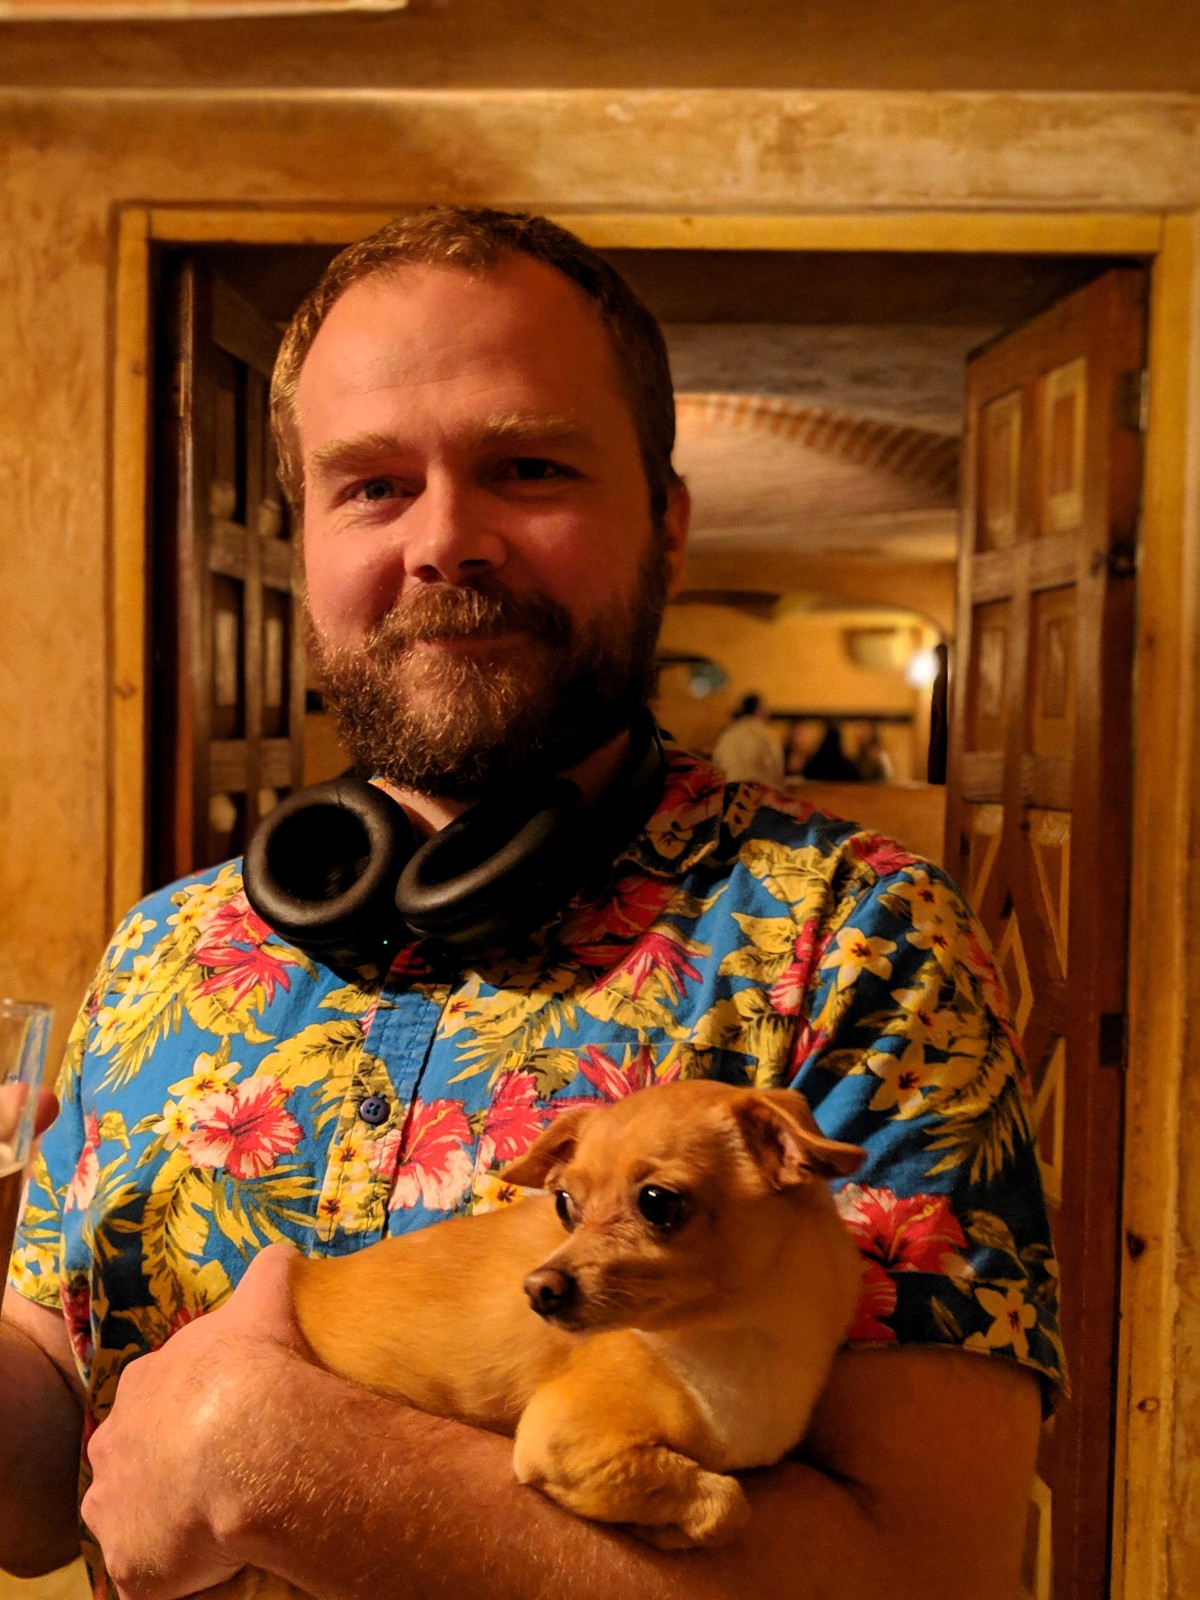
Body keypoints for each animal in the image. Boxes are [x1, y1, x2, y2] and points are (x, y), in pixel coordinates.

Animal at [216, 1075, 870, 1600]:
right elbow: (729, 1503)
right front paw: (666, 1526)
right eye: (563, 1205)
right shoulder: (562, 1438)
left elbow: (729, 1498)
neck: (740, 1338)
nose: (538, 1289)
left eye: (657, 1203)